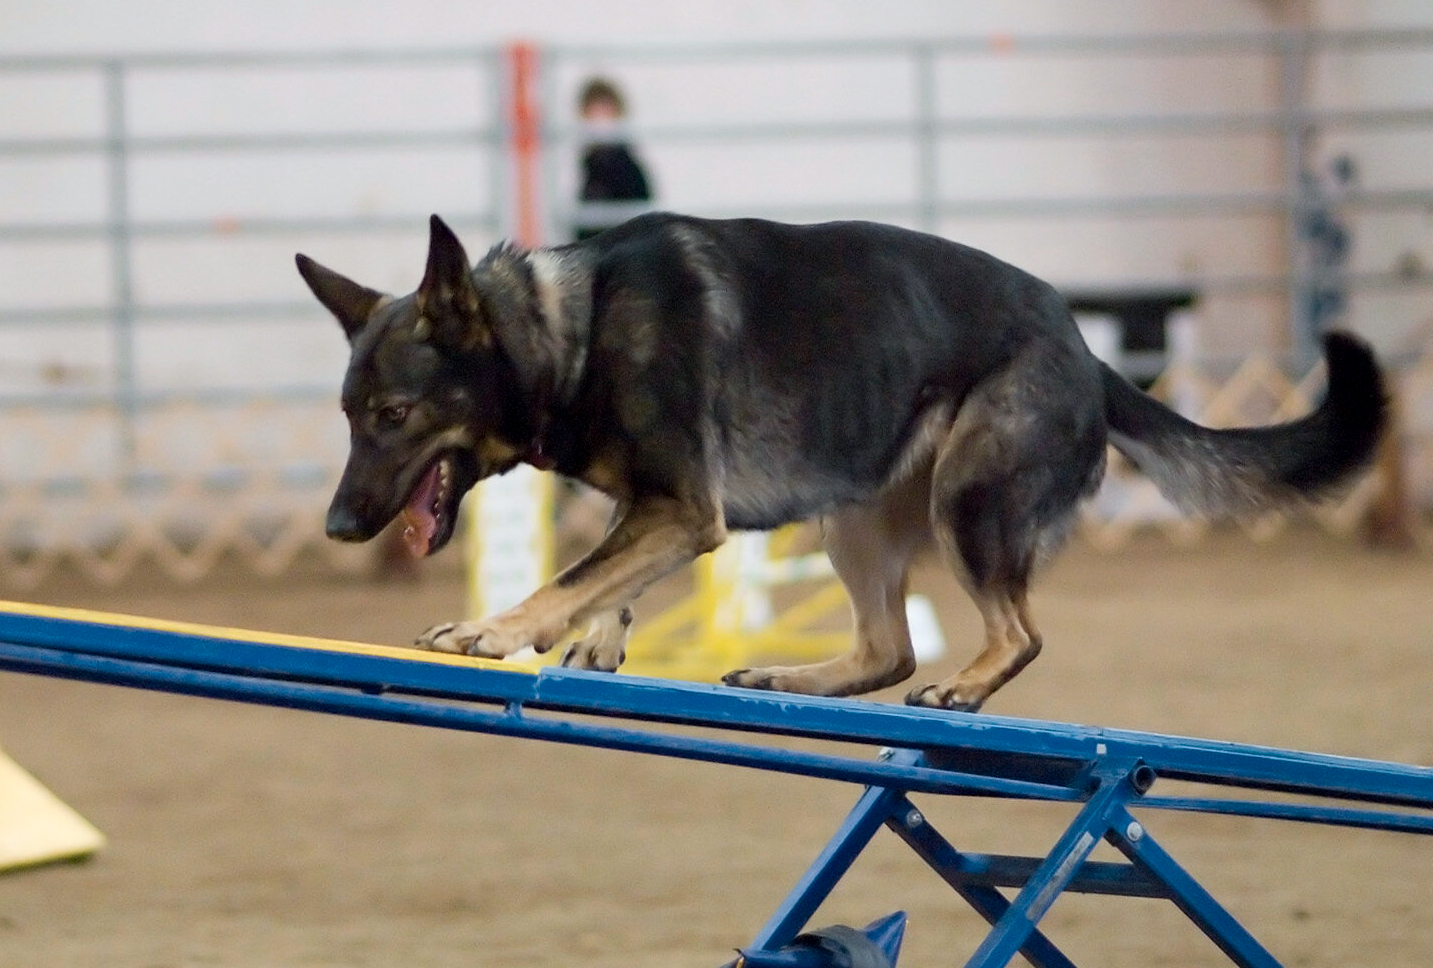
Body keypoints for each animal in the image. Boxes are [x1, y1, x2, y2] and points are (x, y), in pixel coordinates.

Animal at [293, 213, 1387, 710]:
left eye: (392, 414)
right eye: (347, 415)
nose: (338, 528)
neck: (573, 330)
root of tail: (1087, 351)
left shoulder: (684, 510)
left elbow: (570, 574)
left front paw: (492, 628)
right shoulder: (660, 505)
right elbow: (603, 568)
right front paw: (597, 636)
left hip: (966, 500)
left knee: (1015, 632)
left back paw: (962, 687)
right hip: (854, 520)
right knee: (886, 646)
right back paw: (793, 674)